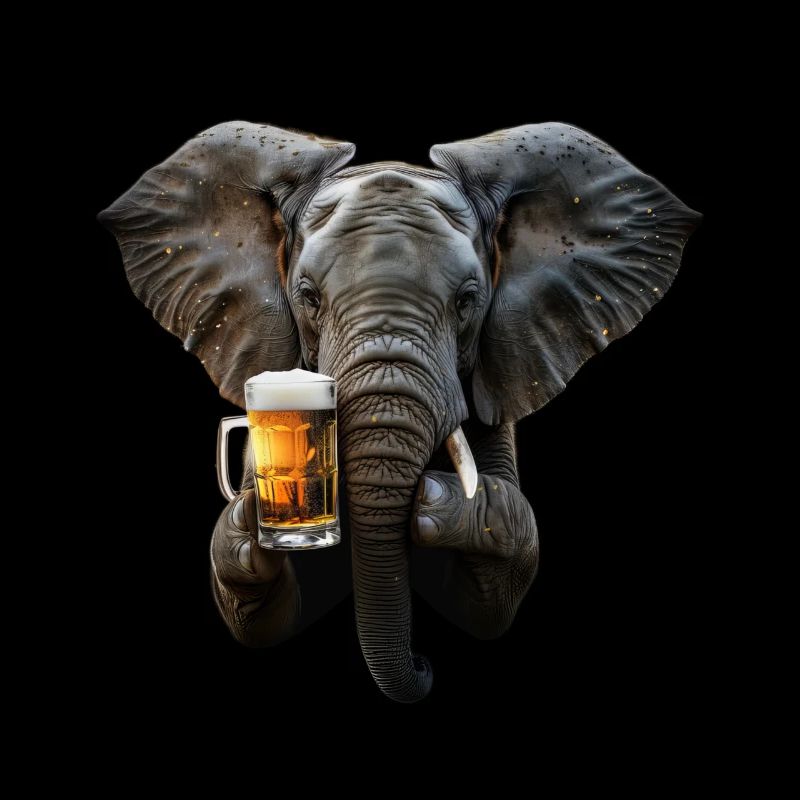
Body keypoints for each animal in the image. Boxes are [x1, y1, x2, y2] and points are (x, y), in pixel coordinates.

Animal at [99, 121, 700, 703]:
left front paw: (443, 502)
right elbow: (259, 613)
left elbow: (495, 589)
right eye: (308, 297)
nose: (424, 665)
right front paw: (254, 522)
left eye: (467, 301)